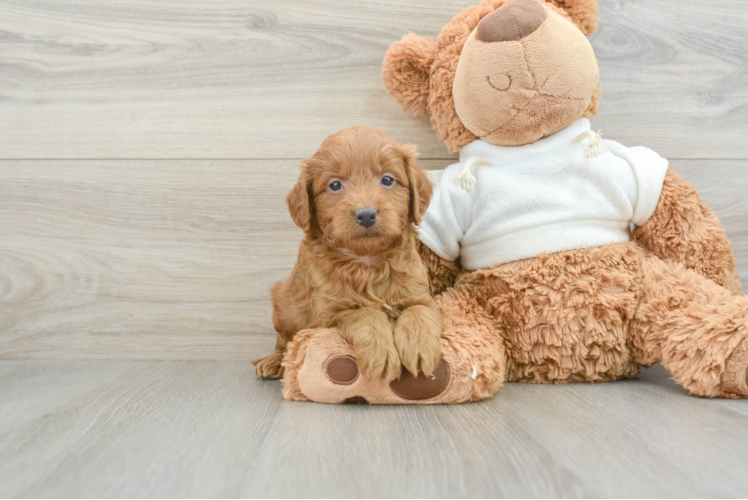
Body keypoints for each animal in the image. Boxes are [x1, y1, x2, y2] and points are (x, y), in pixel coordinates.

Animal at [256, 127, 442, 380]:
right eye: (335, 185)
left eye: (387, 180)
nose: (366, 215)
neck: (368, 260)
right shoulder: (327, 316)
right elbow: (364, 314)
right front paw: (381, 354)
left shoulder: (420, 296)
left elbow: (418, 311)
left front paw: (420, 348)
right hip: (283, 305)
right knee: (284, 341)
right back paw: (273, 362)